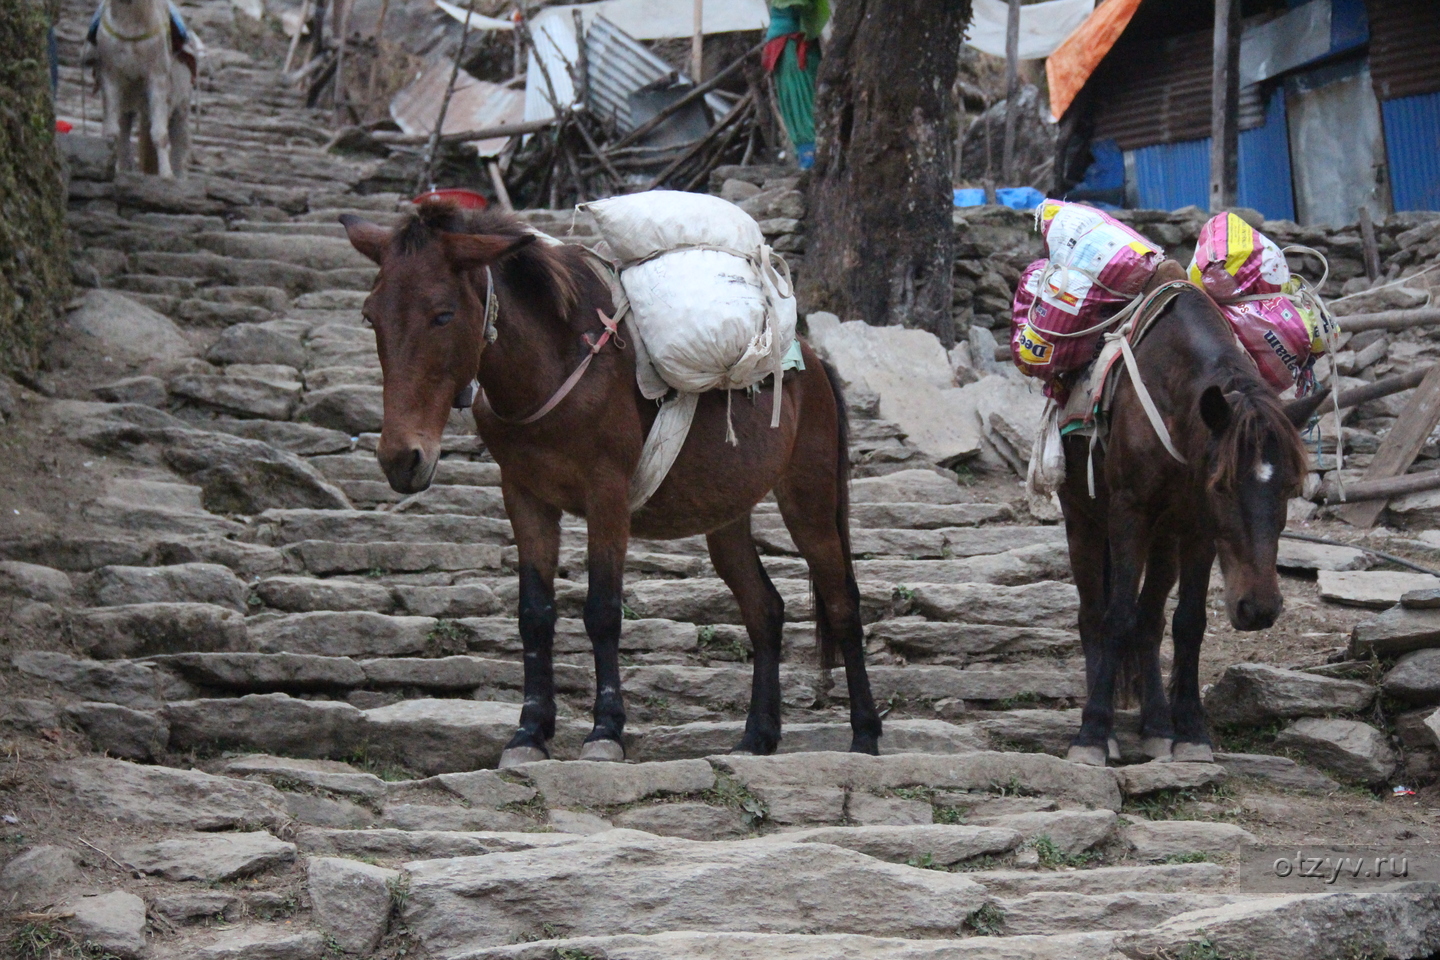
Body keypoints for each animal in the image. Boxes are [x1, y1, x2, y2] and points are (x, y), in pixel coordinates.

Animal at [85, 0, 197, 178]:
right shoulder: (110, 79)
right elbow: (112, 133)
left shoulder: (157, 79)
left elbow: (159, 133)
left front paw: (166, 174)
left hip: (181, 106)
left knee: (180, 145)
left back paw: (178, 175)